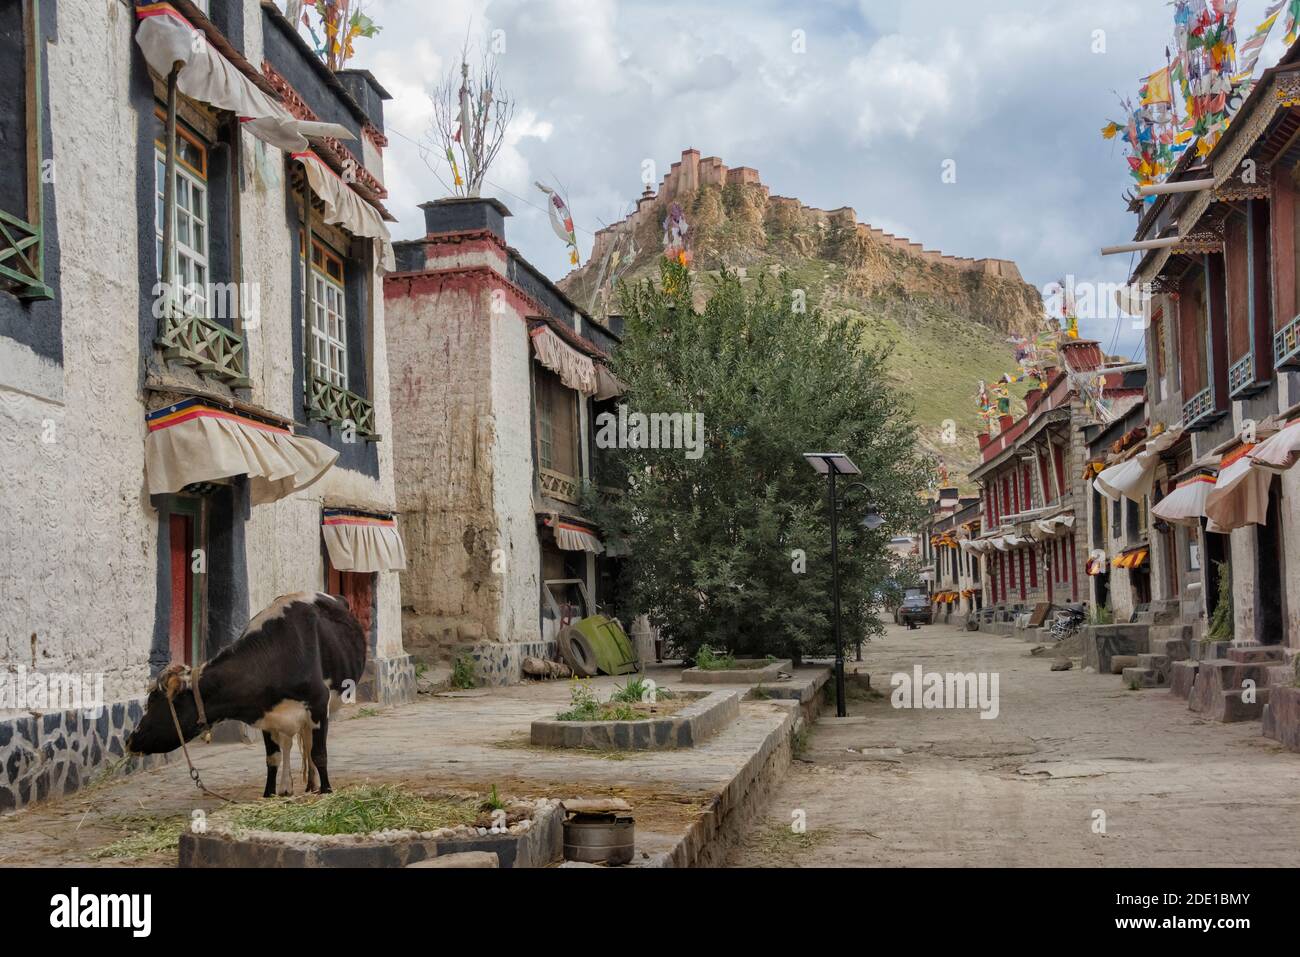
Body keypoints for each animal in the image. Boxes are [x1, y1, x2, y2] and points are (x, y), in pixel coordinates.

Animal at [125, 595, 366, 795]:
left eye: (154, 702)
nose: (130, 739)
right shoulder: (268, 714)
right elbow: (273, 758)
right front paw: (269, 794)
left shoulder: (318, 704)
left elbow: (319, 753)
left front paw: (326, 791)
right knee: (289, 744)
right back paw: (287, 787)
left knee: (307, 745)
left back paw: (312, 785)